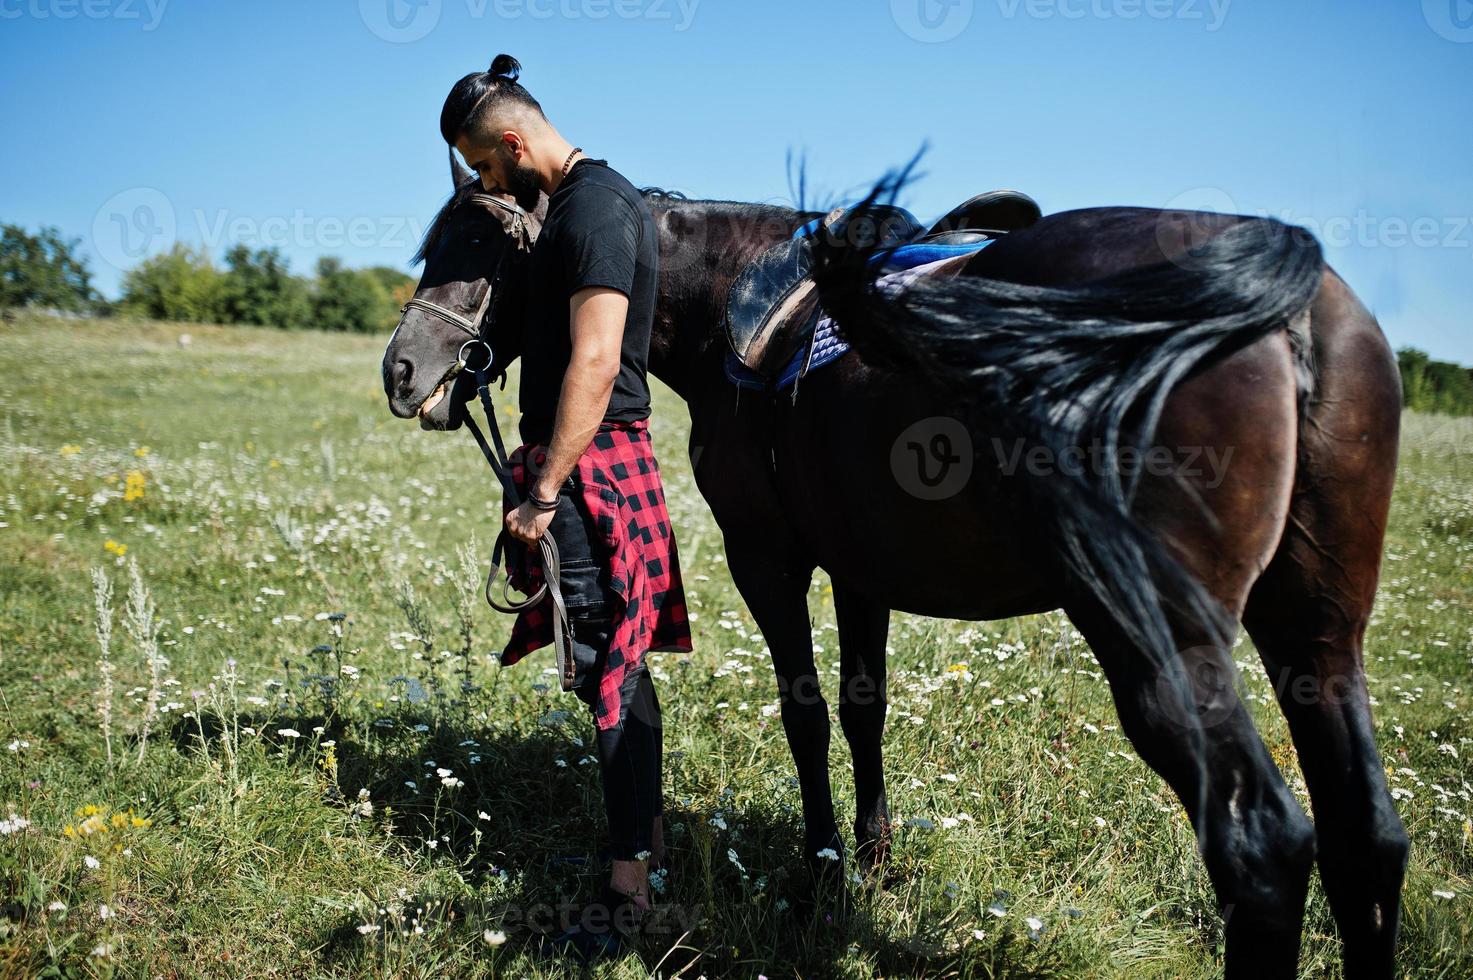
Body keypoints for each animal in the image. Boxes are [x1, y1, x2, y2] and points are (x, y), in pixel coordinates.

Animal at [377, 156, 1402, 972]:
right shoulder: (859, 571)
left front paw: (822, 873)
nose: (402, 369)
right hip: (1317, 632)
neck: (734, 310)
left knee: (1263, 850)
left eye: (483, 244)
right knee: (1367, 840)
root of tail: (1293, 302)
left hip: (1160, 645)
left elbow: (804, 712)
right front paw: (873, 861)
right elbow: (863, 708)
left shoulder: (768, 558)